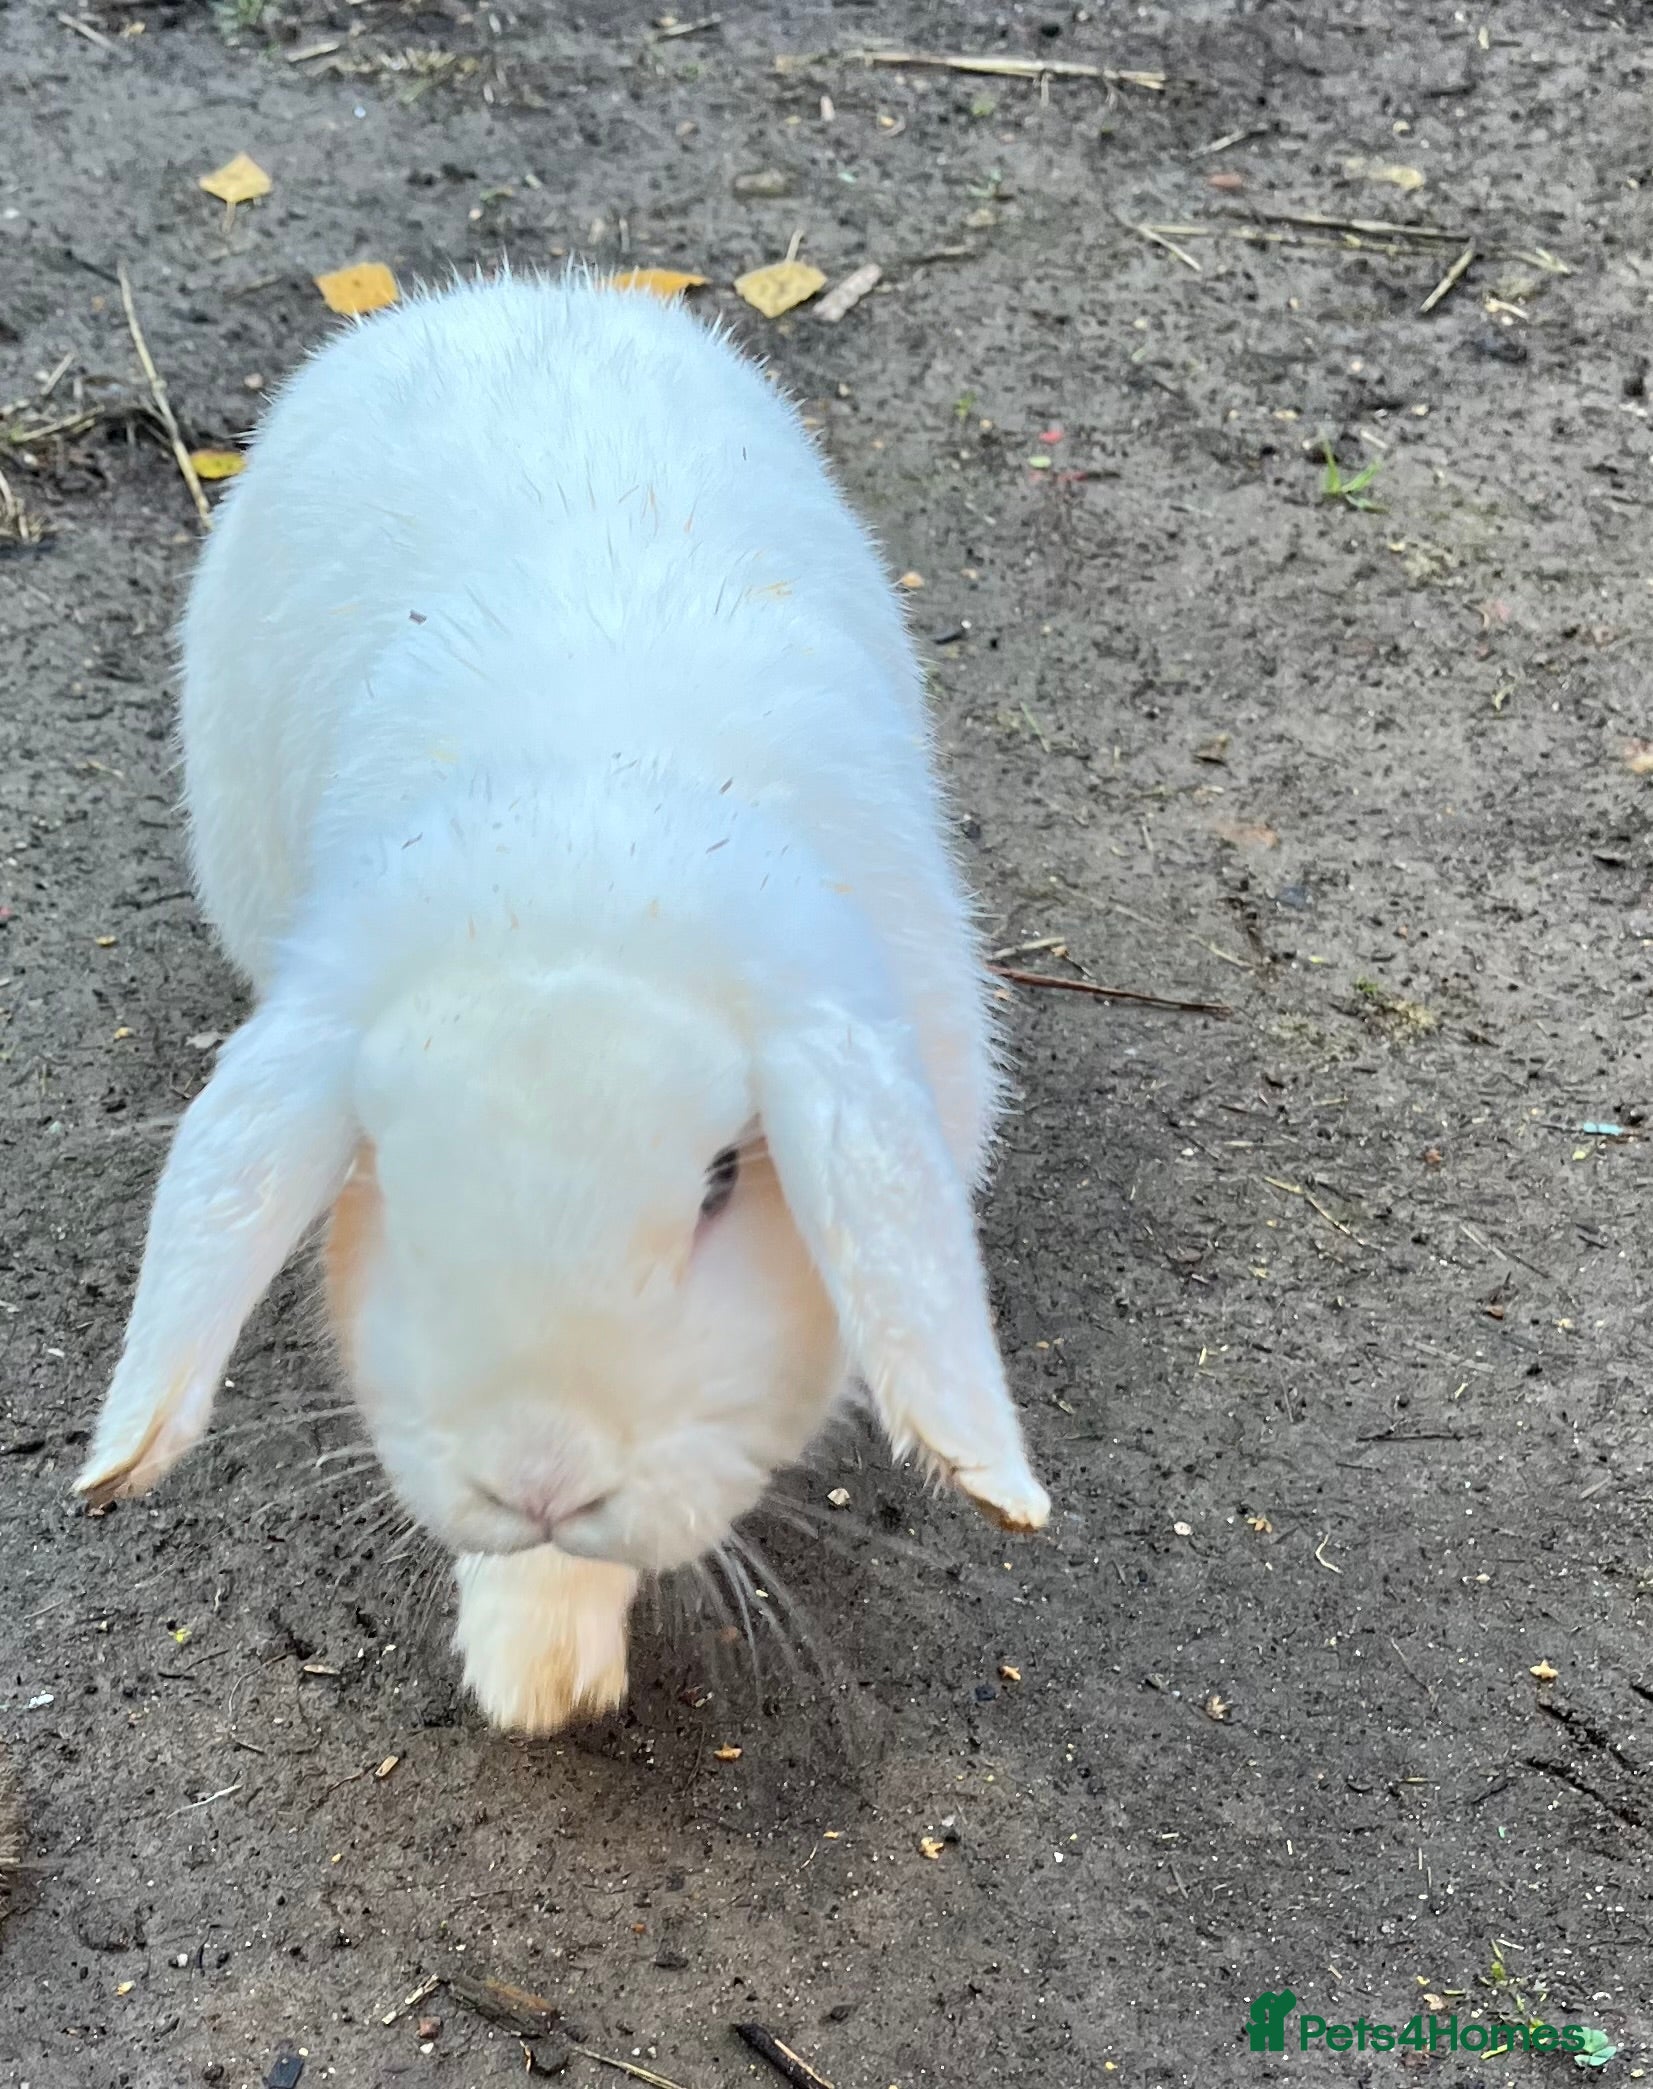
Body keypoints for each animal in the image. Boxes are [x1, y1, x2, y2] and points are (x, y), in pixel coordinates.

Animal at [75, 272, 1050, 1733]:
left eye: (722, 1182)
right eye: (385, 1178)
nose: (540, 1471)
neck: (593, 854)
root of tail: (494, 296)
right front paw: (534, 1666)